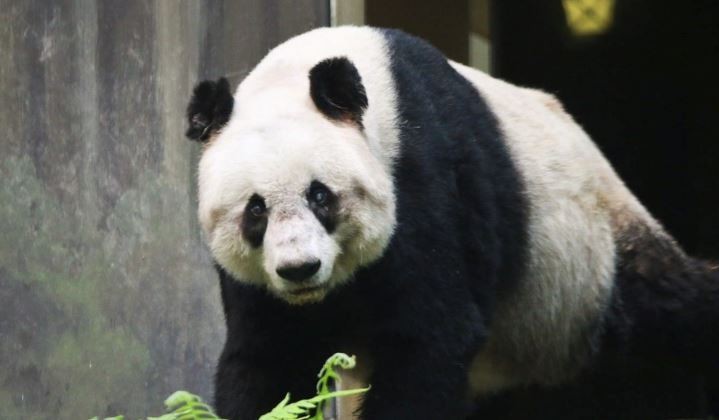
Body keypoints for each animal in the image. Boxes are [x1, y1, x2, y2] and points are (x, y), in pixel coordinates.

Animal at [184, 26, 719, 419]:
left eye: (321, 196)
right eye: (255, 210)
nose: (300, 269)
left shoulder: (429, 181)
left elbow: (431, 335)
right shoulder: (257, 287)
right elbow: (268, 358)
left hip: (587, 269)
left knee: (670, 311)